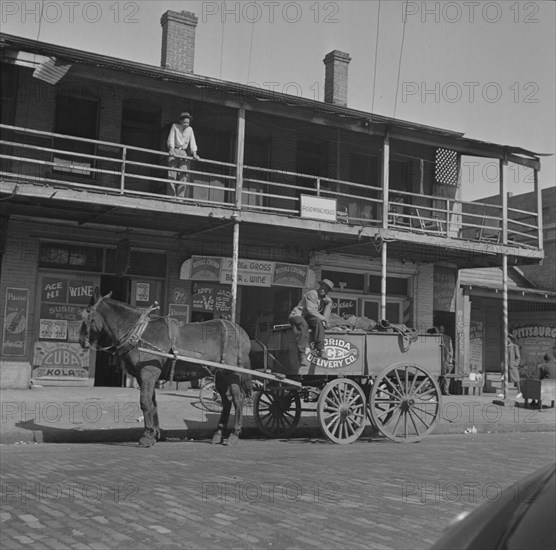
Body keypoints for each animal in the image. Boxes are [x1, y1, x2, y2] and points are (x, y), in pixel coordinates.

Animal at [78, 288, 252, 448]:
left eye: (86, 315)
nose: (80, 340)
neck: (139, 333)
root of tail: (241, 332)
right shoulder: (144, 377)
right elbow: (152, 404)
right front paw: (155, 433)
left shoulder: (148, 374)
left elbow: (144, 402)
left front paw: (147, 436)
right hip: (220, 374)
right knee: (227, 401)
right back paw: (218, 434)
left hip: (232, 373)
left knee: (238, 399)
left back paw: (234, 435)